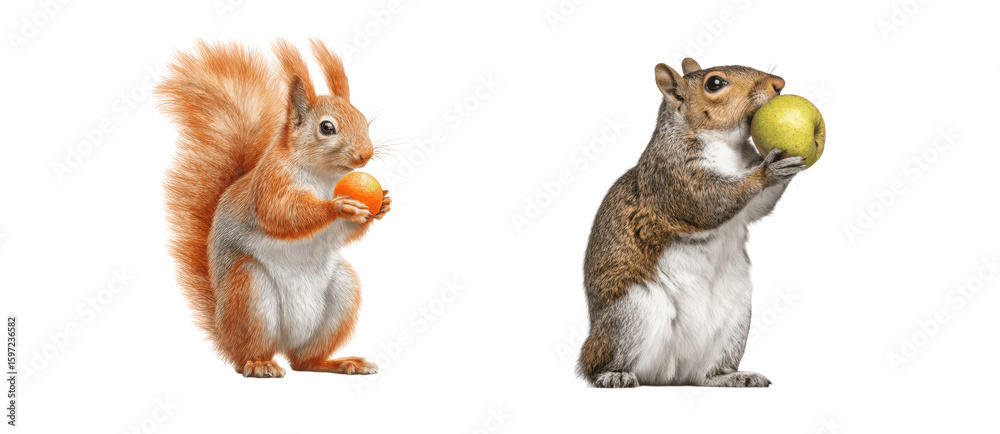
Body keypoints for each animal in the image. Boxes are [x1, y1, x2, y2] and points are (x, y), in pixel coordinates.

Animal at [158, 39, 390, 378]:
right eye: (327, 128)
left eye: (363, 119)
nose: (365, 155)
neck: (323, 176)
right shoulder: (271, 183)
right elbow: (281, 214)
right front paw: (339, 207)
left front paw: (382, 203)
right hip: (250, 292)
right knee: (248, 354)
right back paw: (260, 365)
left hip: (342, 293)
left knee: (305, 362)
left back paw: (341, 362)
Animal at [577, 58, 805, 388]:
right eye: (714, 84)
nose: (779, 84)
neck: (725, 146)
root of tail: (671, 375)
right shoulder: (671, 176)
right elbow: (707, 203)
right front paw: (768, 170)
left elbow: (758, 206)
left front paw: (787, 166)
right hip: (632, 314)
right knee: (600, 362)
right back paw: (613, 374)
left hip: (735, 322)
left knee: (707, 375)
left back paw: (733, 377)